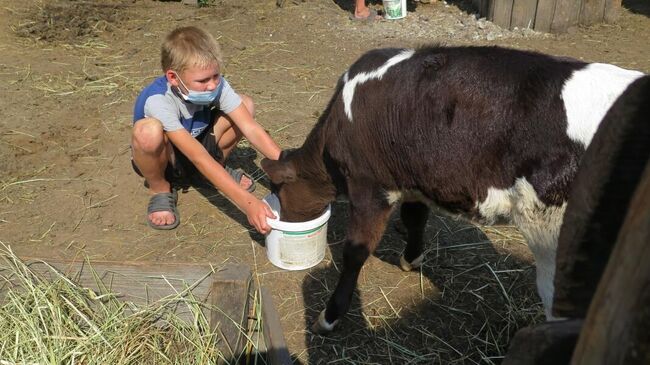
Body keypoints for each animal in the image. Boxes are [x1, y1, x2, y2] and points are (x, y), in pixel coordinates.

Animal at [260, 46, 644, 332]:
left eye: (279, 189)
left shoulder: (369, 186)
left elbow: (355, 252)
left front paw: (330, 315)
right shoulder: (413, 178)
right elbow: (415, 218)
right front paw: (411, 259)